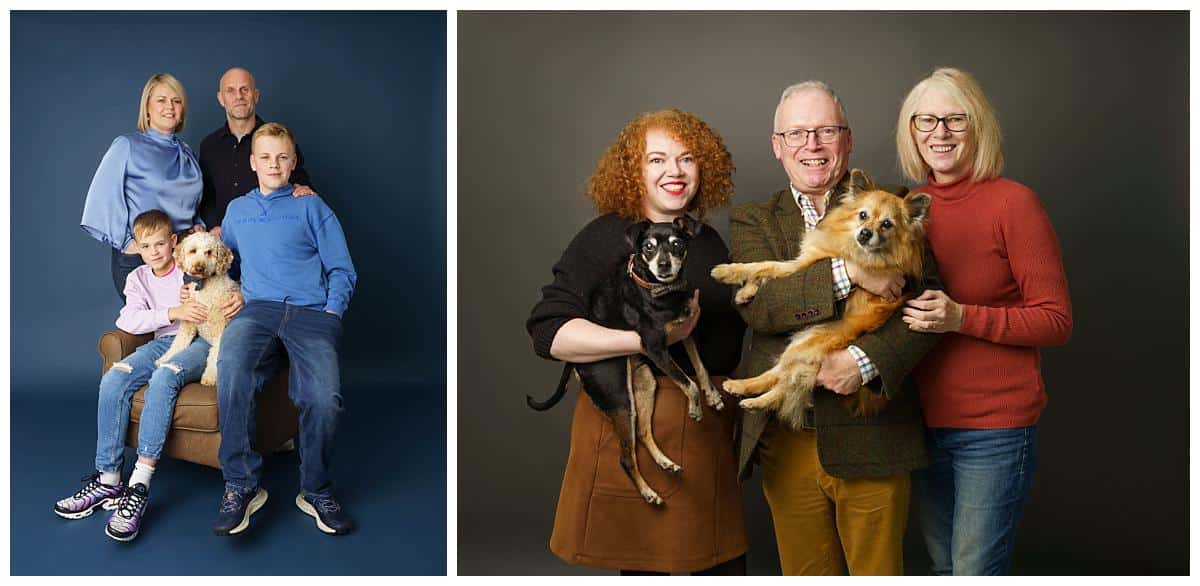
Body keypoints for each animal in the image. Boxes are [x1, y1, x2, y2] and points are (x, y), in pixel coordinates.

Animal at [153, 231, 237, 386]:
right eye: (192, 251)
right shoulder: (188, 321)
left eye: (209, 252)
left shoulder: (220, 328)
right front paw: (165, 358)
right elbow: (178, 343)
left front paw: (210, 376)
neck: (202, 287)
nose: (199, 268)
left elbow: (215, 355)